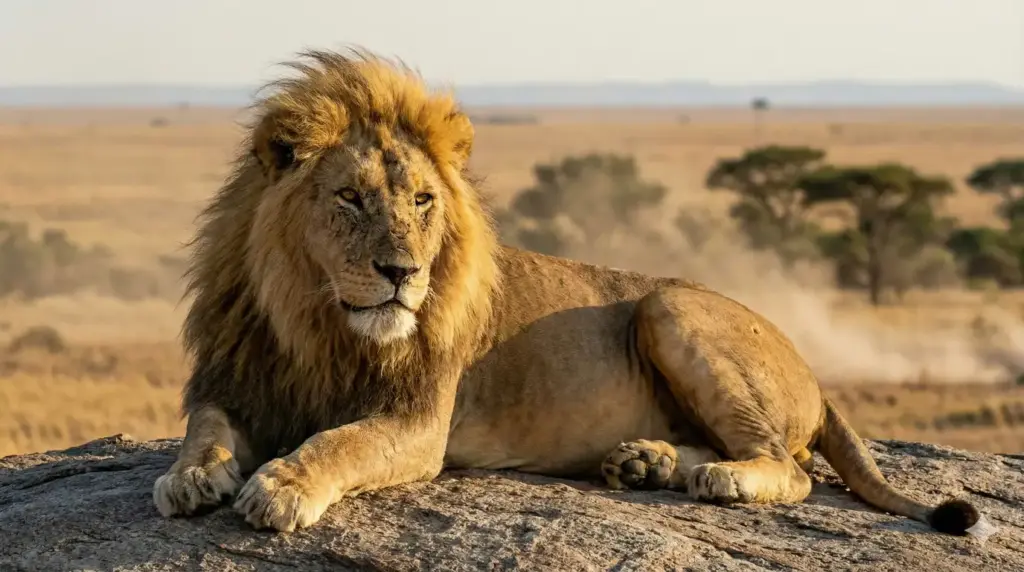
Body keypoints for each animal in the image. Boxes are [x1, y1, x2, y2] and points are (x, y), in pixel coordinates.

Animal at [153, 48, 981, 537]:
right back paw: (645, 463)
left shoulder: (418, 420)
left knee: (791, 466)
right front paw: (191, 477)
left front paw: (281, 485)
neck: (316, 321)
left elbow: (340, 441)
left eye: (422, 201)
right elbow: (204, 427)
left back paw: (715, 478)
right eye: (351, 199)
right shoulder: (239, 377)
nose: (402, 273)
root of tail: (816, 373)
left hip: (668, 306)